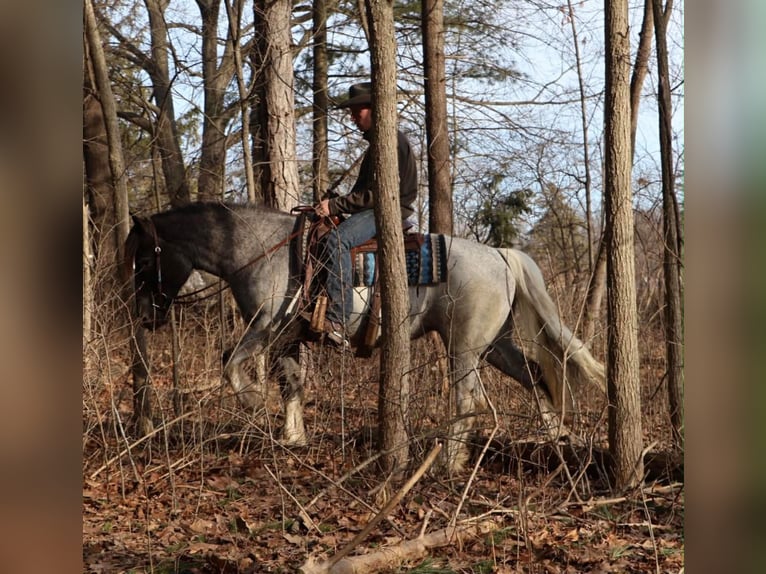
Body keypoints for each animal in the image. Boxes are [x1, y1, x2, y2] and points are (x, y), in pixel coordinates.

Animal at [124, 201, 606, 473]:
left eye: (145, 259)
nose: (145, 317)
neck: (260, 250)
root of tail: (501, 256)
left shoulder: (265, 326)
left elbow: (230, 363)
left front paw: (254, 403)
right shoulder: (287, 336)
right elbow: (292, 382)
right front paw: (293, 436)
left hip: (465, 348)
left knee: (467, 401)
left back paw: (450, 462)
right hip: (495, 346)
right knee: (535, 375)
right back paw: (559, 438)